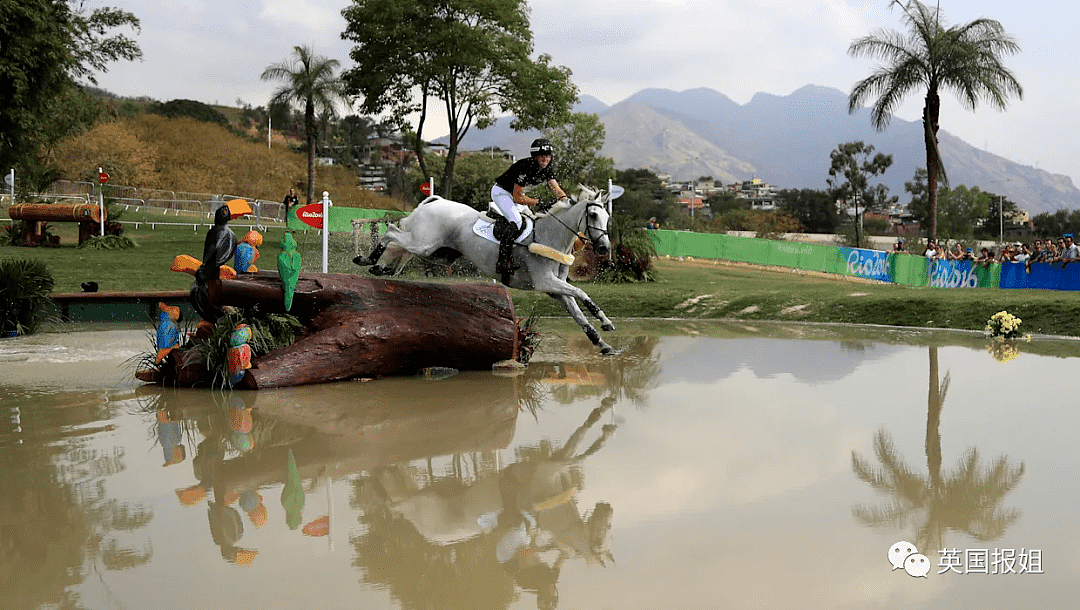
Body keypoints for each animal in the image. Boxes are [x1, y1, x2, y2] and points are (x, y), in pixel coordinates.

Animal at [356, 184, 617, 351]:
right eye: (593, 215)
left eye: (607, 218)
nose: (604, 248)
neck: (550, 237)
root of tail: (435, 201)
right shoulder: (545, 281)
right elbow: (582, 293)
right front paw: (604, 321)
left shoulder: (554, 289)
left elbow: (578, 313)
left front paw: (603, 342)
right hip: (424, 243)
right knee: (391, 231)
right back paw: (365, 259)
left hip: (437, 252)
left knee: (400, 245)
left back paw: (382, 268)